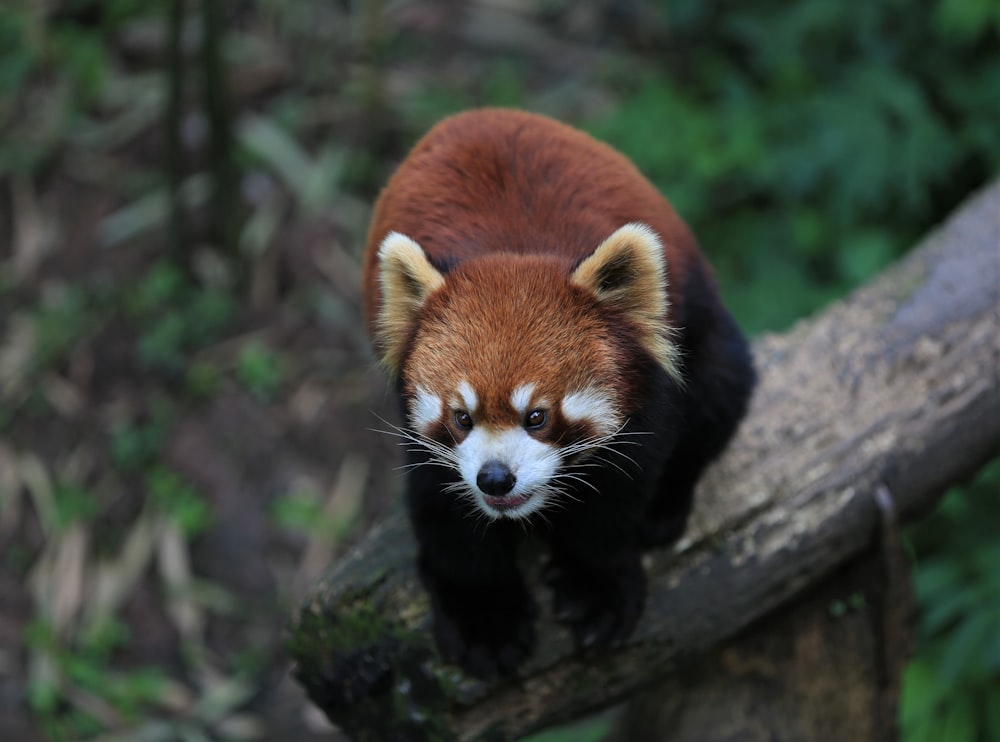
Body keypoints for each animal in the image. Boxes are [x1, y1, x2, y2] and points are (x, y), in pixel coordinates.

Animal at [364, 107, 752, 676]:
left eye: (537, 417)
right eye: (461, 417)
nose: (495, 478)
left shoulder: (646, 391)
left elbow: (617, 497)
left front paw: (597, 587)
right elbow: (443, 509)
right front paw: (484, 616)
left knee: (718, 396)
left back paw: (666, 508)